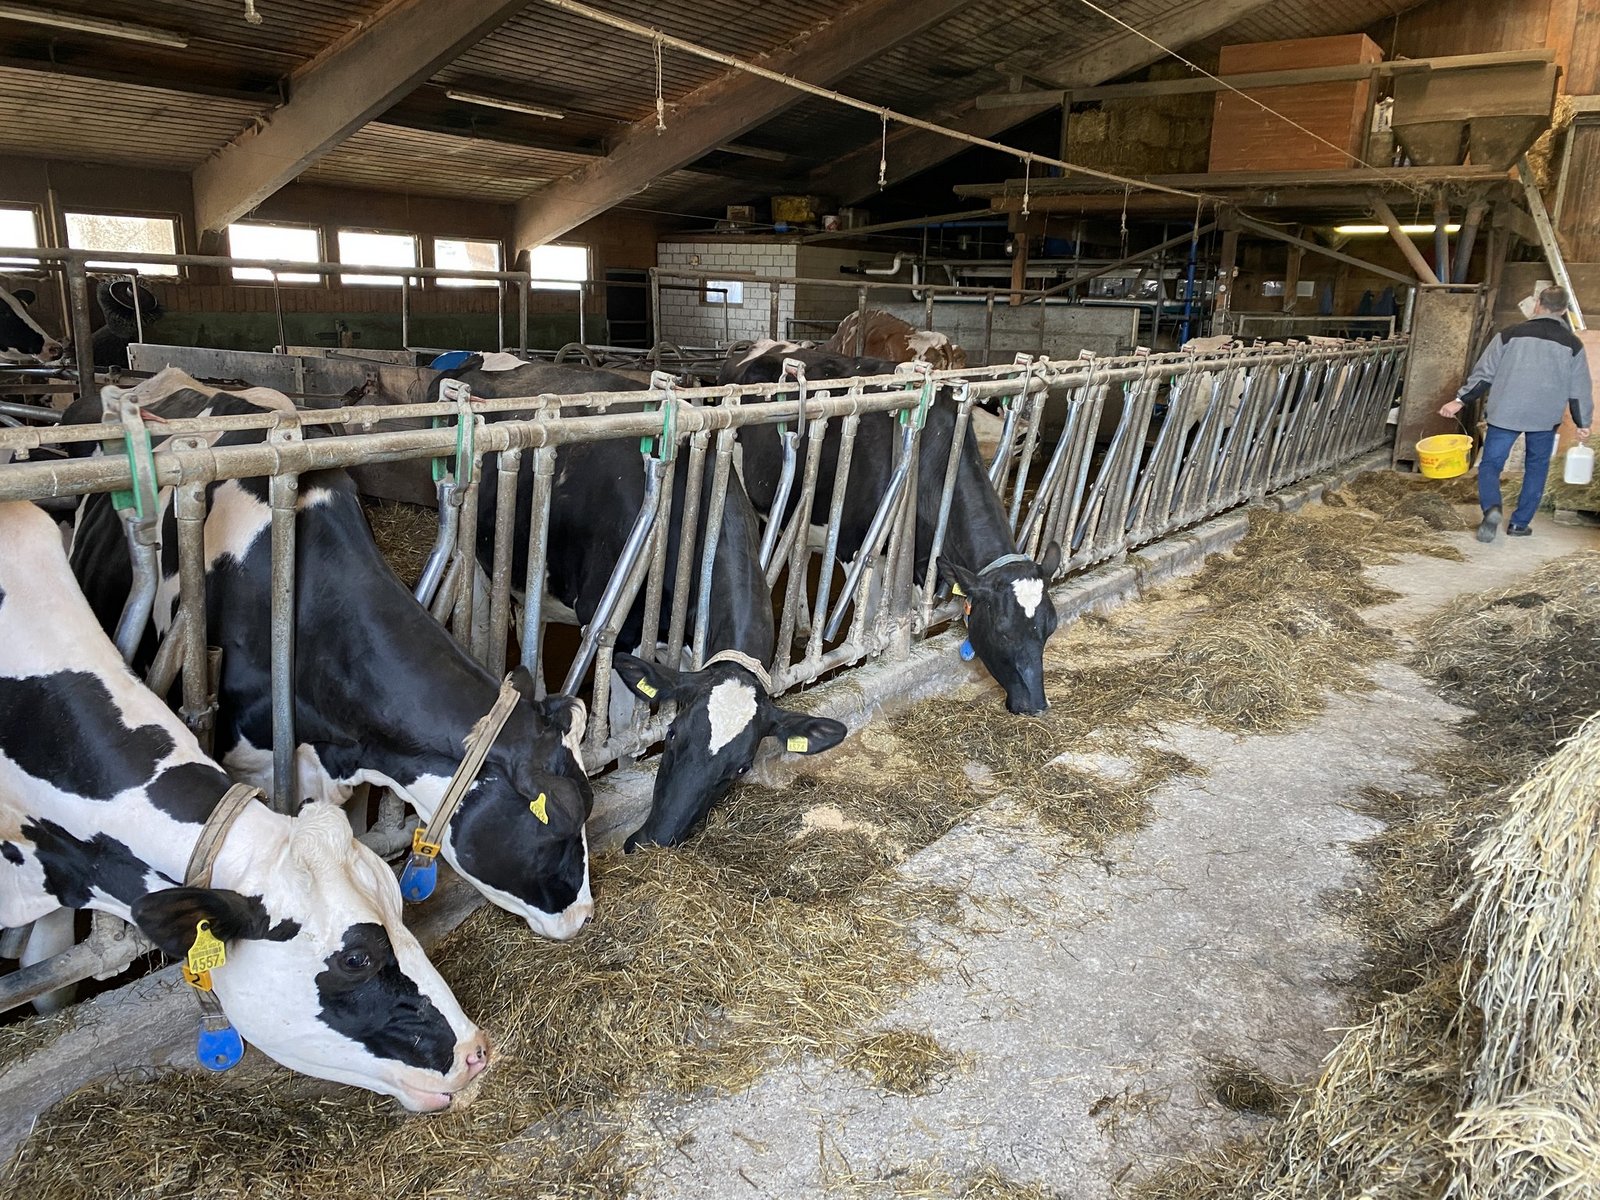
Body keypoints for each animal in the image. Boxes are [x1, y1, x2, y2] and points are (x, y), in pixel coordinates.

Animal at [426, 356, 848, 850]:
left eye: (739, 768)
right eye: (675, 736)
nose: (655, 841)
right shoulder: (618, 629)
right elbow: (627, 727)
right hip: (476, 556)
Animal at [721, 346, 1061, 716]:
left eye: (1050, 627)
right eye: (1002, 631)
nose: (1037, 705)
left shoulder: (922, 560)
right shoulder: (853, 547)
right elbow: (870, 624)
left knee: (802, 551)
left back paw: (801, 626)